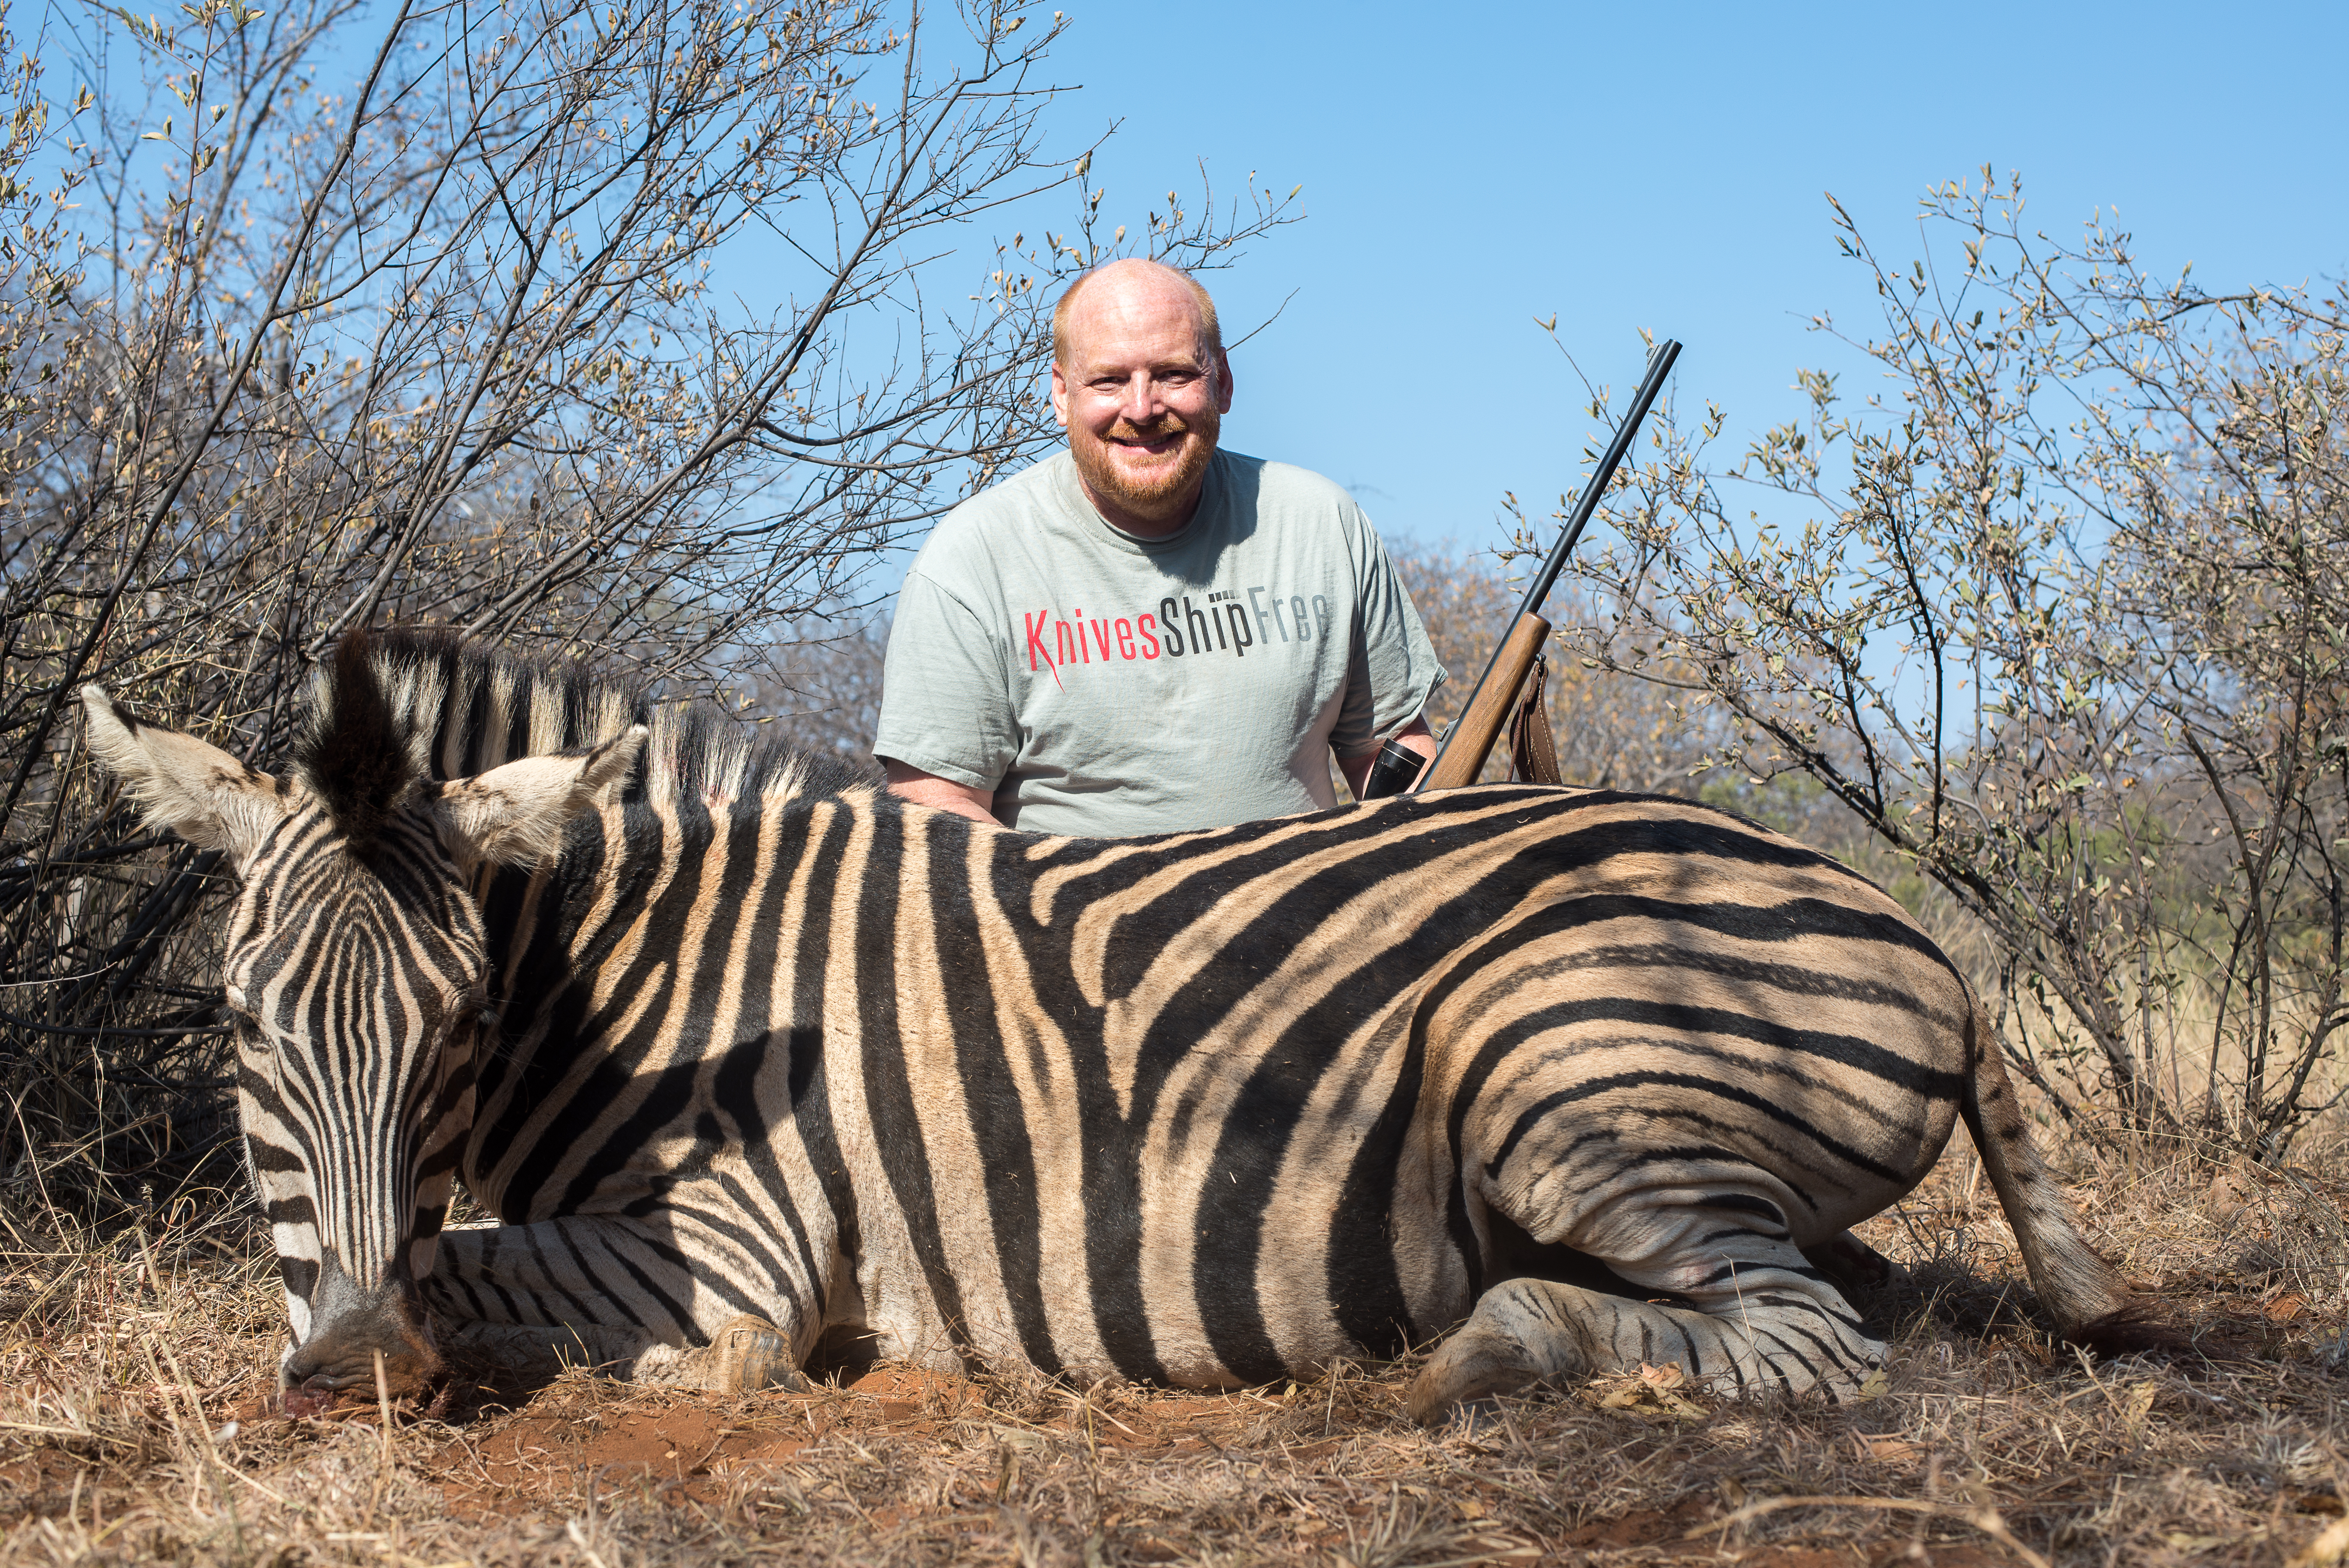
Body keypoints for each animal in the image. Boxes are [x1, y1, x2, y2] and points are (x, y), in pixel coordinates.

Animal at [78, 628, 2156, 1419]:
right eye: (242, 1029)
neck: (639, 992)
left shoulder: (745, 1251)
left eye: (454, 1030)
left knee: (1807, 1339)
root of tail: (1926, 947)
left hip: (1549, 1069)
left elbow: (510, 1282)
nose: (355, 1374)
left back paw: (1490, 1344)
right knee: (1846, 1290)